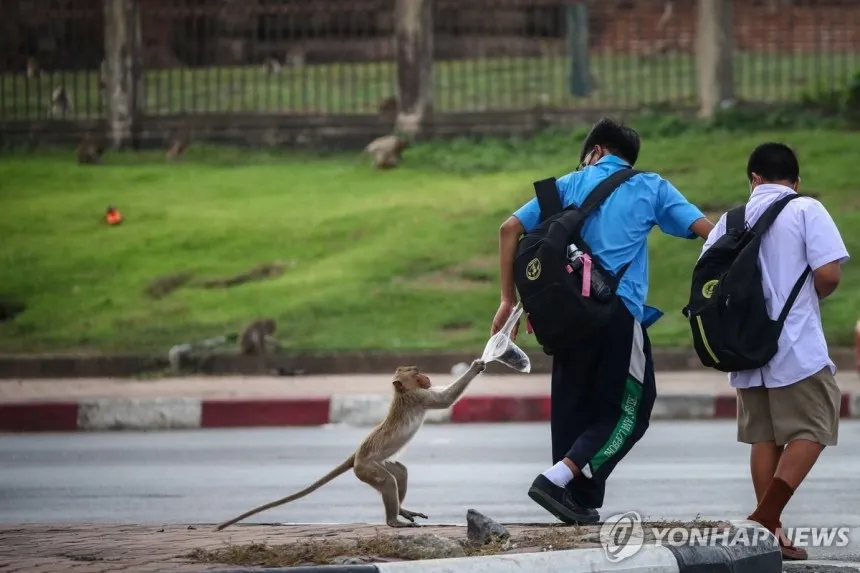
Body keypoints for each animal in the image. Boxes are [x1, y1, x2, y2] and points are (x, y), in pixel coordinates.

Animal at [212, 360, 488, 528]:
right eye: (415, 372)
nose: (426, 377)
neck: (402, 392)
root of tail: (356, 455)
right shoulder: (419, 397)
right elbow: (445, 399)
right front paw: (475, 367)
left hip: (373, 465)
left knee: (399, 473)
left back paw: (401, 511)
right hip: (366, 469)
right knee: (388, 480)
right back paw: (393, 520)